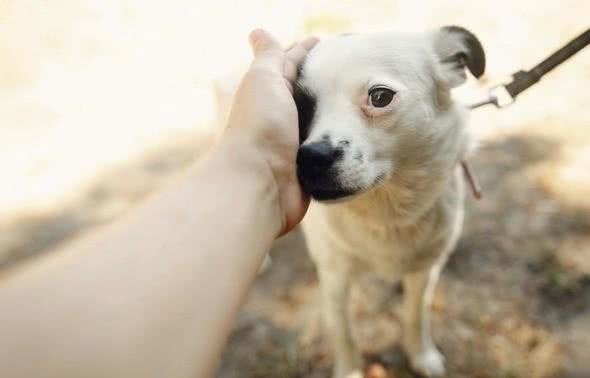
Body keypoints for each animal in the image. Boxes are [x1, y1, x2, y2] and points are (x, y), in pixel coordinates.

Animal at [296, 26, 486, 378]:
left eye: (380, 97)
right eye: (299, 106)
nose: (312, 157)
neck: (386, 210)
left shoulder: (425, 270)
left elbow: (415, 315)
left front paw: (421, 355)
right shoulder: (334, 277)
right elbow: (343, 331)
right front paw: (349, 370)